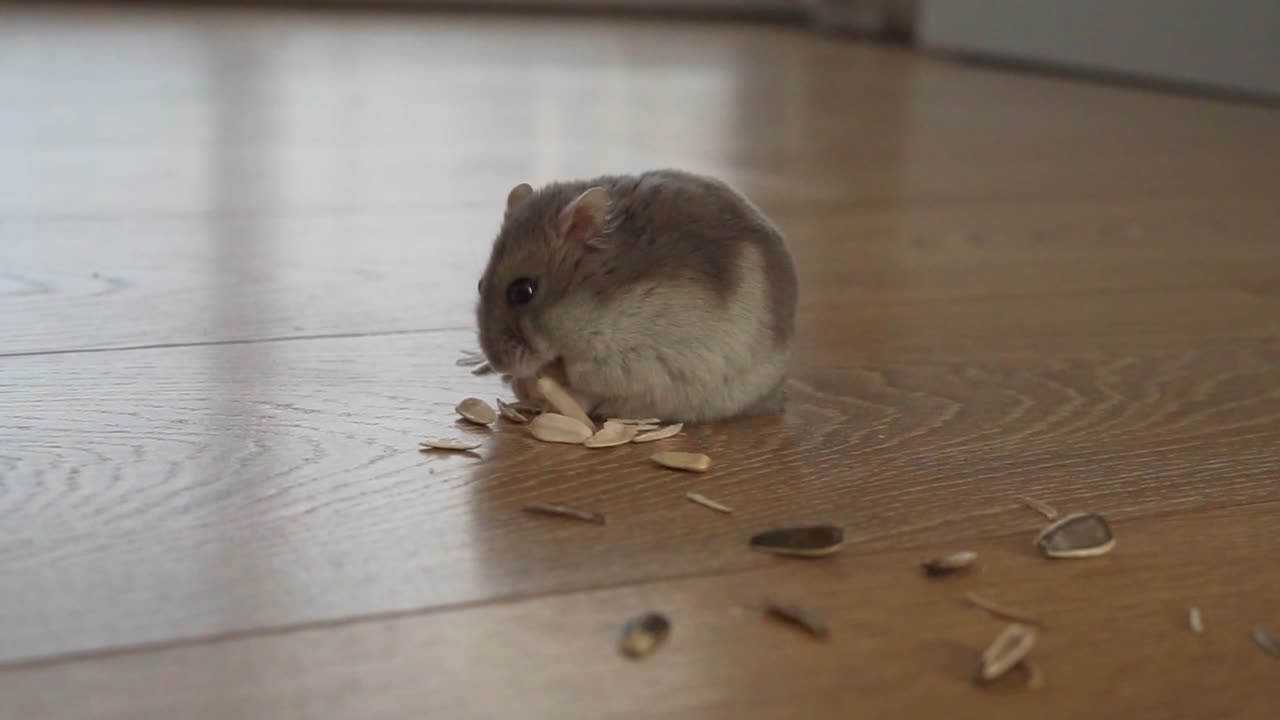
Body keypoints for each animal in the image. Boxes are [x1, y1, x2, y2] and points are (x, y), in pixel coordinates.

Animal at [475, 168, 798, 423]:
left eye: (522, 291)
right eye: (480, 284)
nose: (499, 364)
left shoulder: (636, 360)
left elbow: (585, 384)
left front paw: (535, 385)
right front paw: (519, 382)